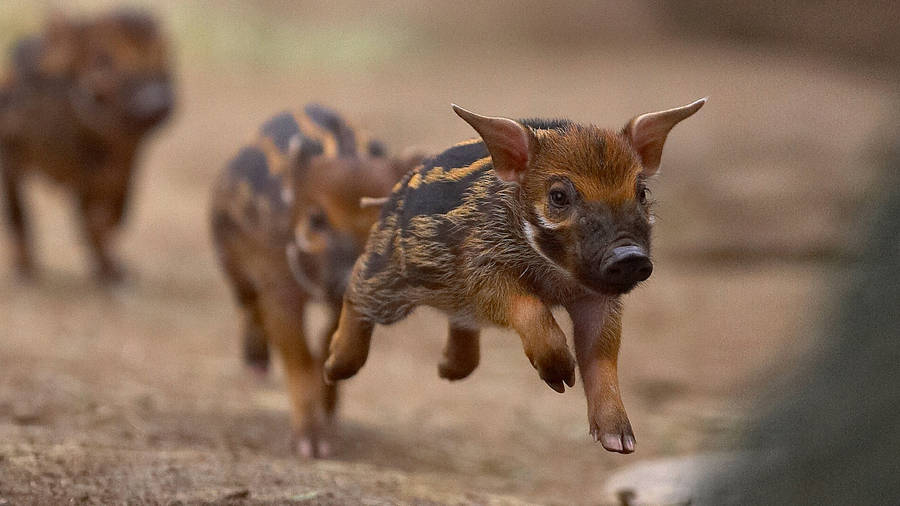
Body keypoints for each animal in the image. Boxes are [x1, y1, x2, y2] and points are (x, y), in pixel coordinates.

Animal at [0, 9, 173, 283]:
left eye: (163, 56)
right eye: (102, 59)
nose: (155, 102)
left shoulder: (122, 165)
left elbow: (112, 215)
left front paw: (112, 270)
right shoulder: (11, 155)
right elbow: (19, 213)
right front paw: (23, 267)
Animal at [210, 104, 421, 457]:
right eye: (315, 219)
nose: (344, 279)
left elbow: (325, 343)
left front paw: (329, 422)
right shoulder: (279, 281)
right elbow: (297, 356)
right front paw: (311, 447)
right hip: (230, 259)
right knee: (249, 304)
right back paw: (256, 367)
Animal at [324, 98, 706, 454]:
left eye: (641, 192)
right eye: (558, 196)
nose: (628, 255)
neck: (557, 277)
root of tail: (389, 197)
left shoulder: (597, 296)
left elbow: (601, 354)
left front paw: (620, 443)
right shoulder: (482, 270)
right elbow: (527, 307)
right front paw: (561, 379)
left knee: (460, 325)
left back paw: (446, 371)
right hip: (387, 272)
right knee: (357, 289)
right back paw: (333, 366)